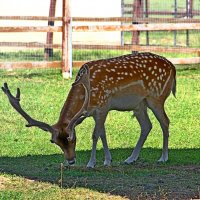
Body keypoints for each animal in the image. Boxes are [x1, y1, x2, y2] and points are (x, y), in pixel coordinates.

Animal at [2, 52, 176, 168]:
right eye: (54, 142)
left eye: (72, 138)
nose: (71, 160)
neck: (86, 94)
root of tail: (173, 68)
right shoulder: (94, 112)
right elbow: (102, 133)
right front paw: (107, 160)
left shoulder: (103, 105)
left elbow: (95, 135)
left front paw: (91, 163)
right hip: (139, 104)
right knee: (147, 126)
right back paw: (130, 158)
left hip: (156, 97)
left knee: (165, 122)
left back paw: (164, 157)